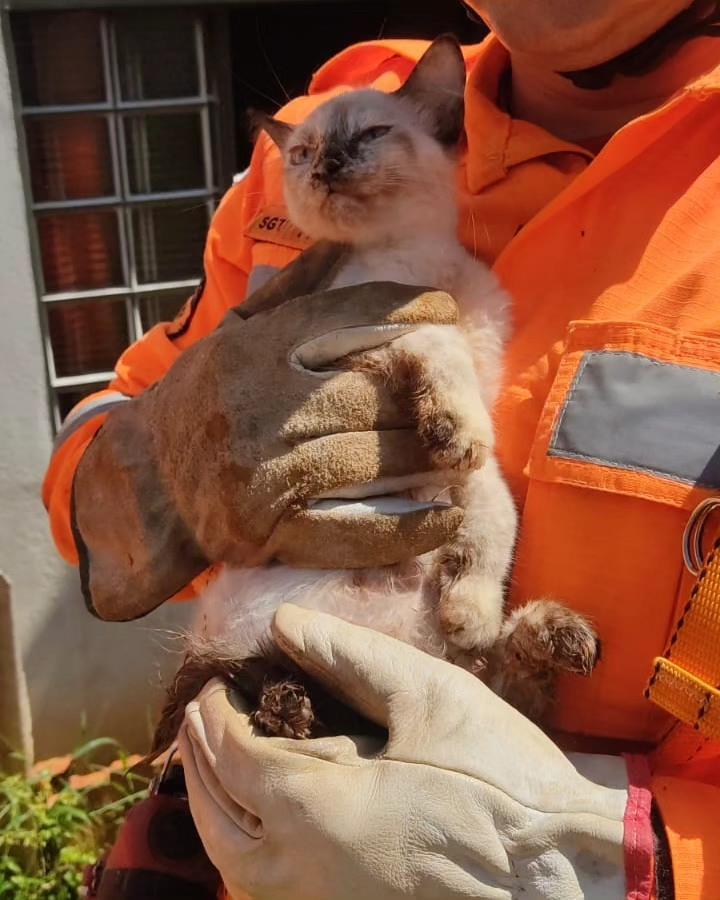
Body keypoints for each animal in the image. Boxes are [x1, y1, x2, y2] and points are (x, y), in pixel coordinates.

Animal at [149, 33, 600, 752]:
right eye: (303, 153)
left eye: (371, 134)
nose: (327, 166)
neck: (413, 261)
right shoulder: (353, 333)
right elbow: (435, 346)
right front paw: (449, 425)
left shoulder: (480, 400)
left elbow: (491, 506)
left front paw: (471, 603)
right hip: (261, 633)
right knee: (256, 676)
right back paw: (291, 710)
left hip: (443, 663)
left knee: (498, 685)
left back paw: (548, 636)